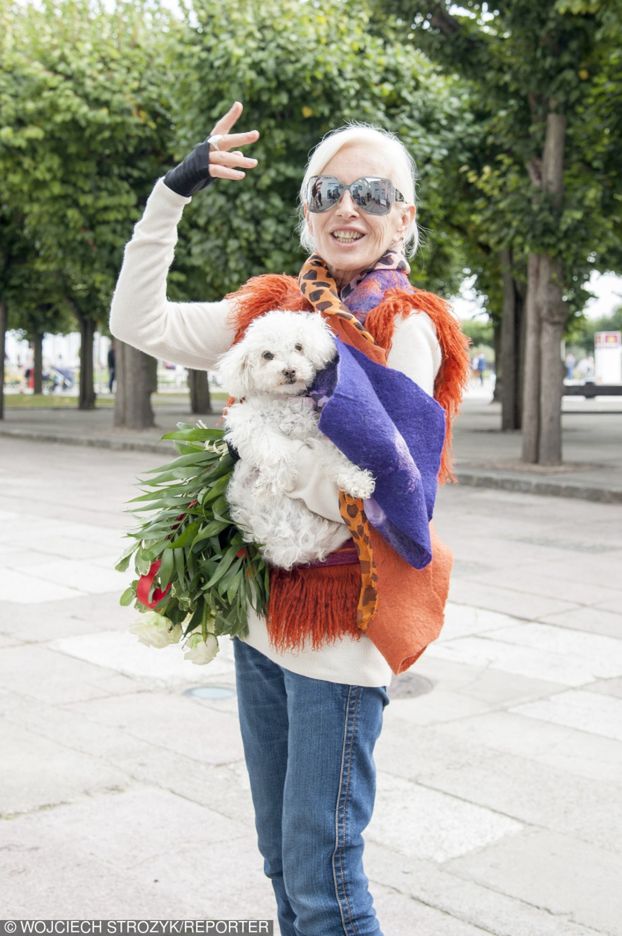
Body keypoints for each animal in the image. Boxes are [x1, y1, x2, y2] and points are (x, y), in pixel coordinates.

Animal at [217, 310, 378, 568]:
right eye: (267, 355)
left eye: (299, 347)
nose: (289, 371)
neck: (285, 403)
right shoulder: (246, 422)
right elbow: (276, 451)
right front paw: (273, 481)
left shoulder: (314, 435)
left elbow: (334, 457)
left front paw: (357, 480)